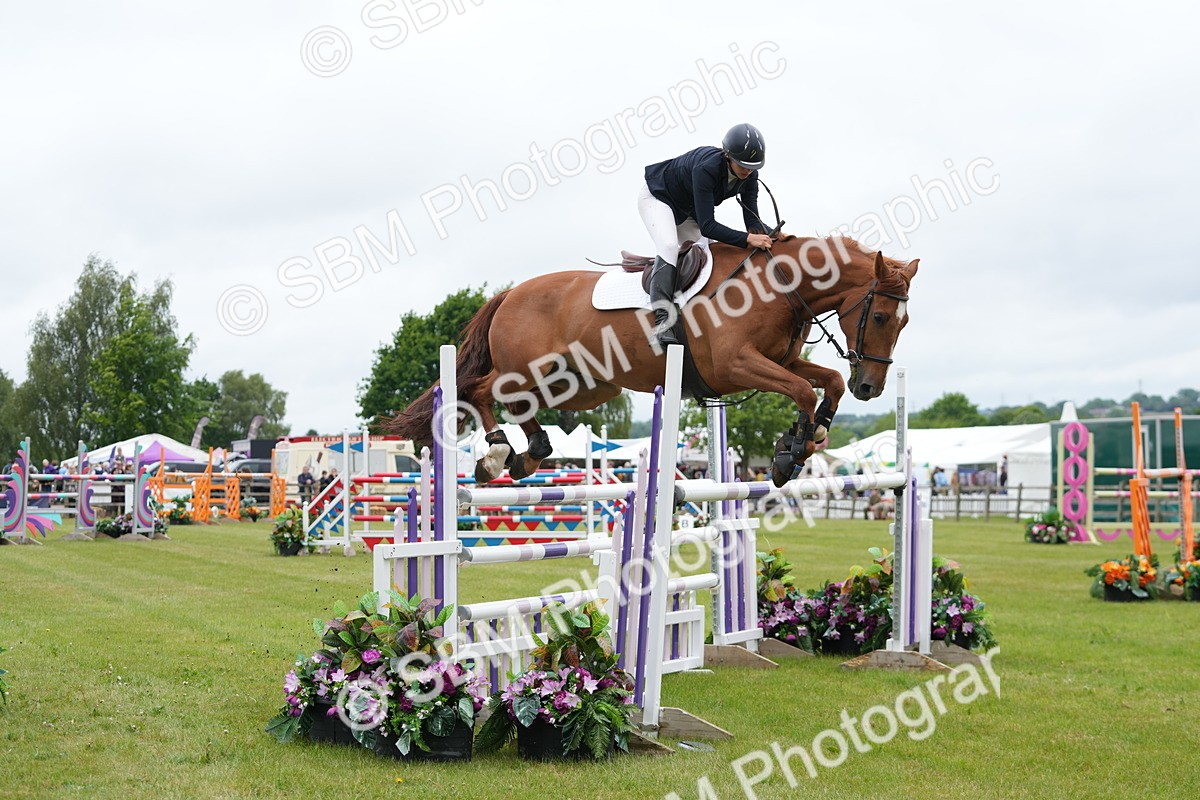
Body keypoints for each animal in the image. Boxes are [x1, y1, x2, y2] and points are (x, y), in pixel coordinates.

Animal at [391, 235, 918, 487]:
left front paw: (805, 438)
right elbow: (803, 390)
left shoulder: (780, 359)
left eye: (904, 322)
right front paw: (790, 455)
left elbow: (823, 382)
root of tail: (510, 293)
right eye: (881, 315)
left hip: (581, 386)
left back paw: (528, 454)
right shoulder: (734, 365)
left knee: (519, 406)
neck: (779, 286)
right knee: (482, 390)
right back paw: (496, 455)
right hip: (530, 370)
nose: (870, 387)